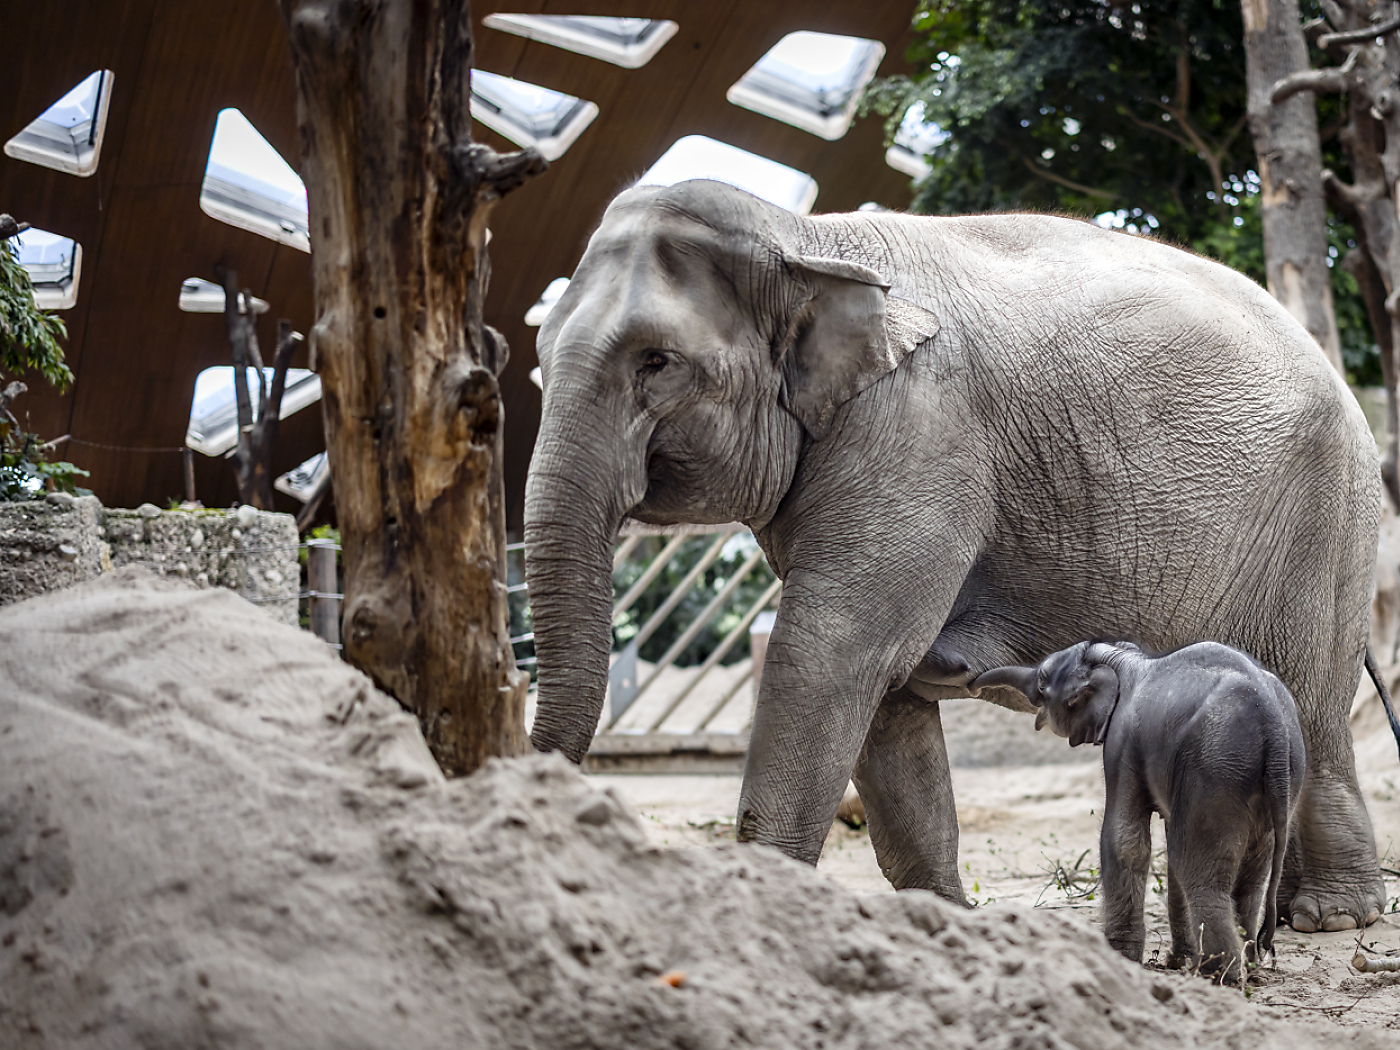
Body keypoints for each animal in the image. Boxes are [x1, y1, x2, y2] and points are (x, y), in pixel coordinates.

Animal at [523, 178, 1387, 932]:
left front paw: (756, 909)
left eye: (656, 363)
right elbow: (887, 697)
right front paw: (943, 918)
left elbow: (830, 652)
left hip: (1329, 516)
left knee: (1310, 700)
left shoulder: (916, 429)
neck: (802, 236)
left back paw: (1331, 916)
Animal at [971, 640, 1306, 981]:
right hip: (1276, 777)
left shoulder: (1122, 745)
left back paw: (1218, 975)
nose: (972, 686)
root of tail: (1273, 724)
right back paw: (1246, 969)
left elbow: (1124, 840)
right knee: (1249, 877)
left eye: (1042, 682)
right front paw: (1177, 961)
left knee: (1197, 868)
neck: (1119, 657)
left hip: (1217, 765)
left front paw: (1120, 958)